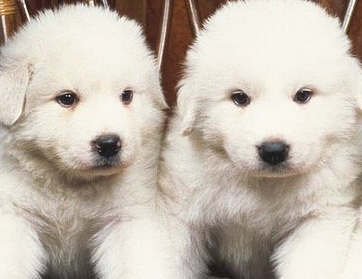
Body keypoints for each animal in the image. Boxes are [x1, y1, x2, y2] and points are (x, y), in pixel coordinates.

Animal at [0, 4, 175, 279]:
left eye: (126, 95)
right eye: (67, 98)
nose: (109, 144)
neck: (71, 184)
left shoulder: (126, 219)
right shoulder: (13, 216)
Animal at [160, 0, 362, 279]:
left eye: (303, 95)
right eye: (240, 98)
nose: (273, 150)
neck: (264, 183)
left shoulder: (318, 218)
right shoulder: (181, 213)